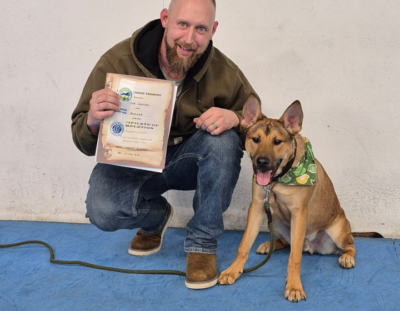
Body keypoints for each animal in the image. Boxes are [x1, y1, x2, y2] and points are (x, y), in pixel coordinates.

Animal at [219, 97, 382, 302]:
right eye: (255, 139)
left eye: (277, 141)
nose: (262, 162)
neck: (280, 179)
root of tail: (310, 246)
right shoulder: (256, 206)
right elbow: (243, 246)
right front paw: (233, 271)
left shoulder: (299, 212)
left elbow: (294, 257)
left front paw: (294, 286)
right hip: (277, 220)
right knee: (285, 242)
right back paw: (268, 245)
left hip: (337, 231)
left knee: (349, 245)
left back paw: (346, 257)